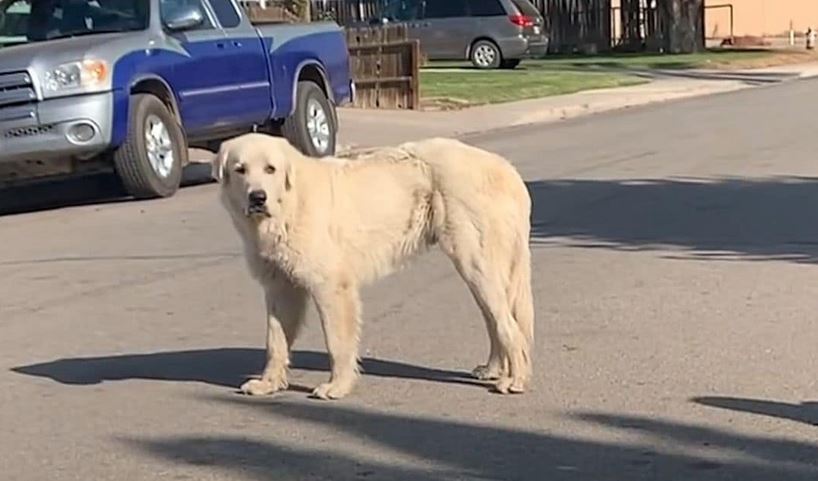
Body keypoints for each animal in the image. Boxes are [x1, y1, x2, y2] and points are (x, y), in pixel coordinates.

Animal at [210, 133, 532, 400]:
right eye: (240, 169)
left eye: (270, 169)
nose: (257, 197)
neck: (290, 203)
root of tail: (506, 168)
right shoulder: (280, 288)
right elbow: (275, 342)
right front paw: (268, 383)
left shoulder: (331, 287)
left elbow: (337, 342)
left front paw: (337, 387)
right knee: (496, 321)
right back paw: (493, 369)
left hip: (475, 263)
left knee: (509, 326)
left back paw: (516, 380)